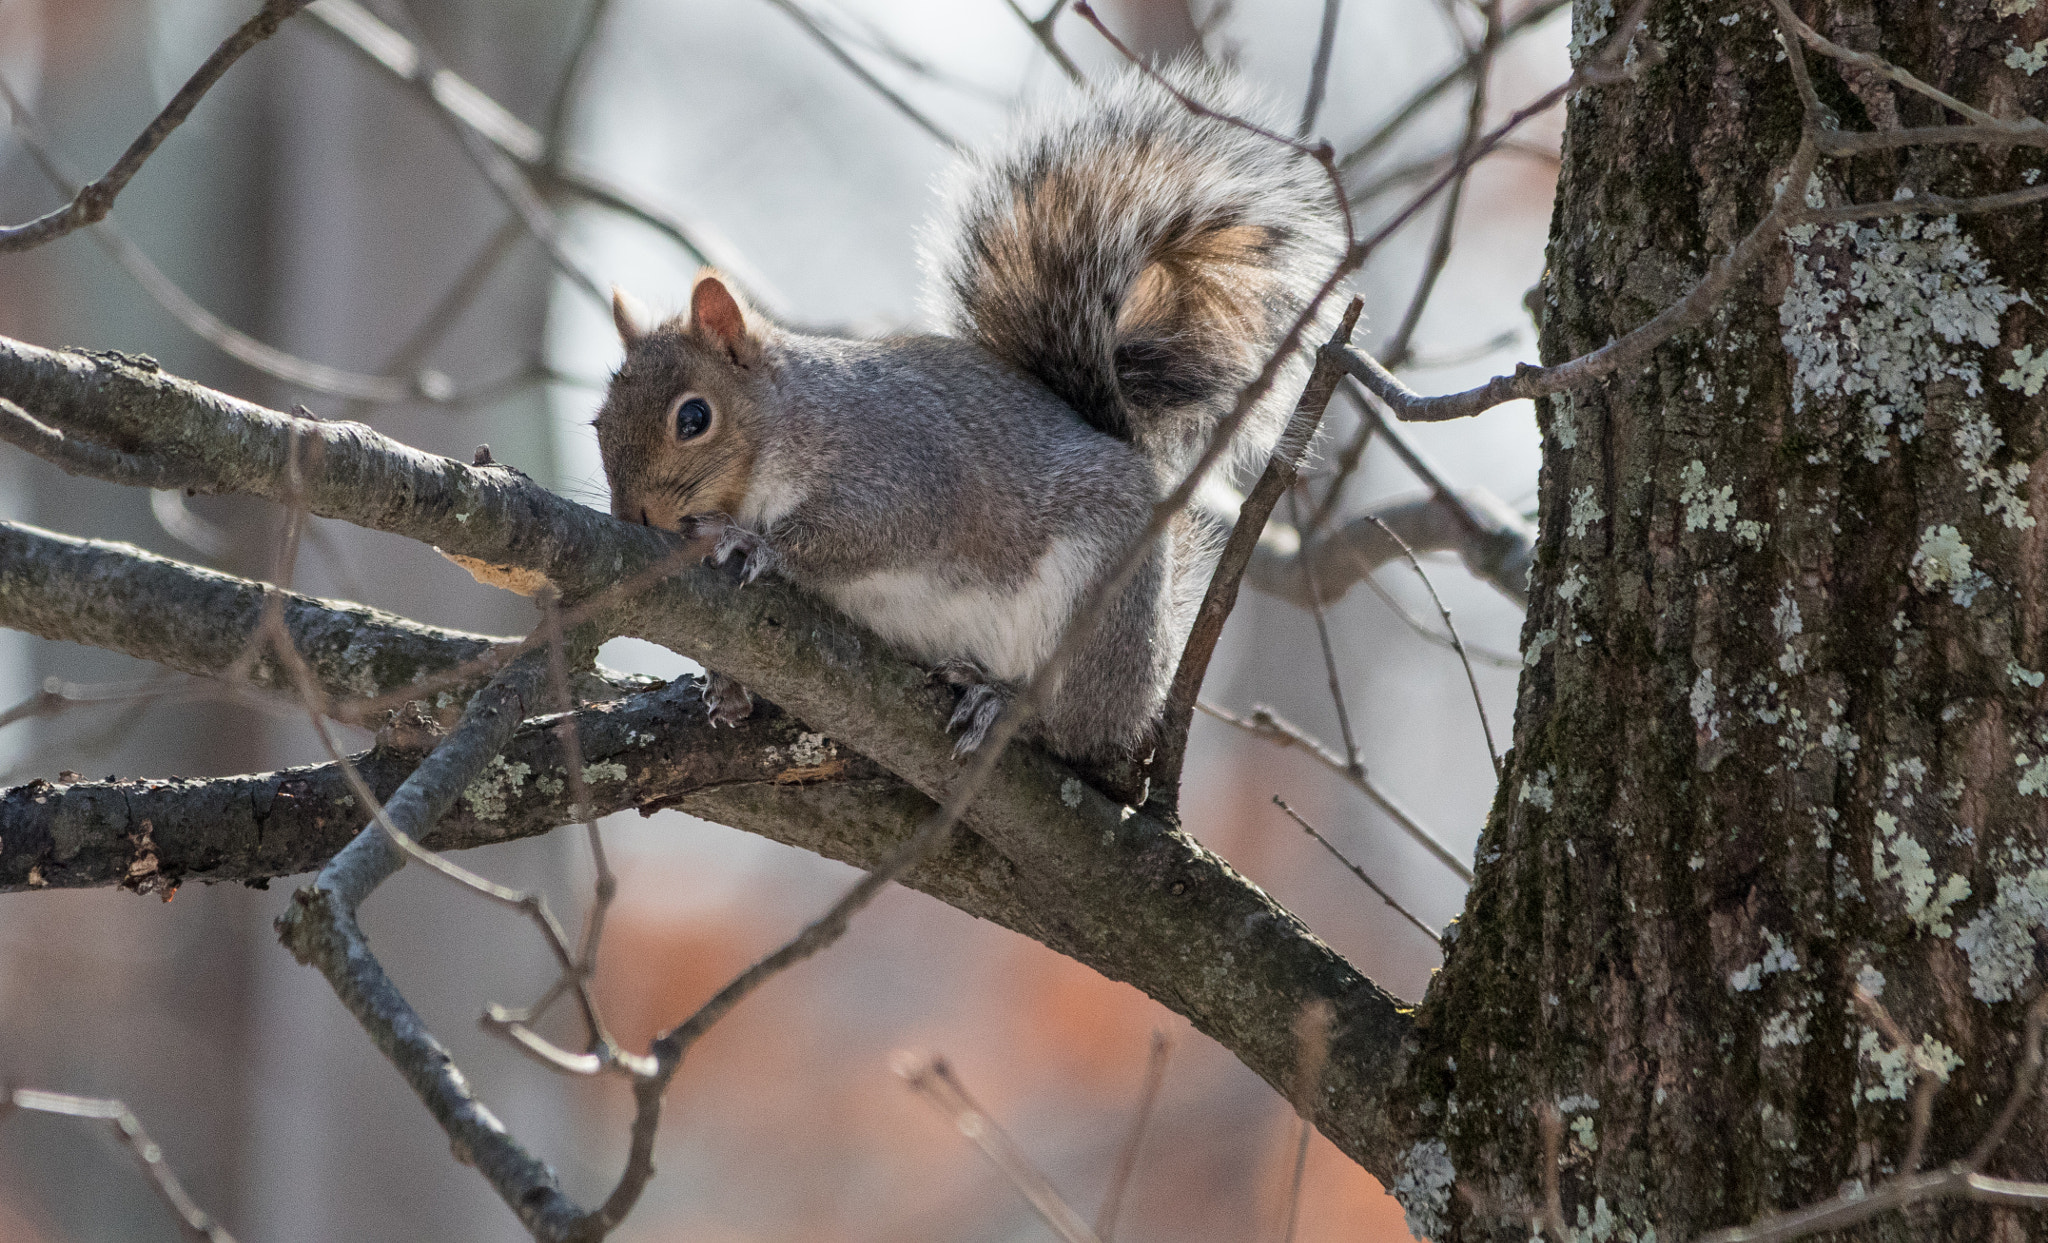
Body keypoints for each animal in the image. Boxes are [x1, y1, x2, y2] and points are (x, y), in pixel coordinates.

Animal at [593, 68, 1351, 774]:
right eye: (597, 424)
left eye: (695, 417)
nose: (635, 516)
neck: (786, 426)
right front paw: (727, 688)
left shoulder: (898, 462)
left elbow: (869, 531)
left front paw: (751, 540)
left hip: (1096, 605)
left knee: (1073, 727)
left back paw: (1005, 700)